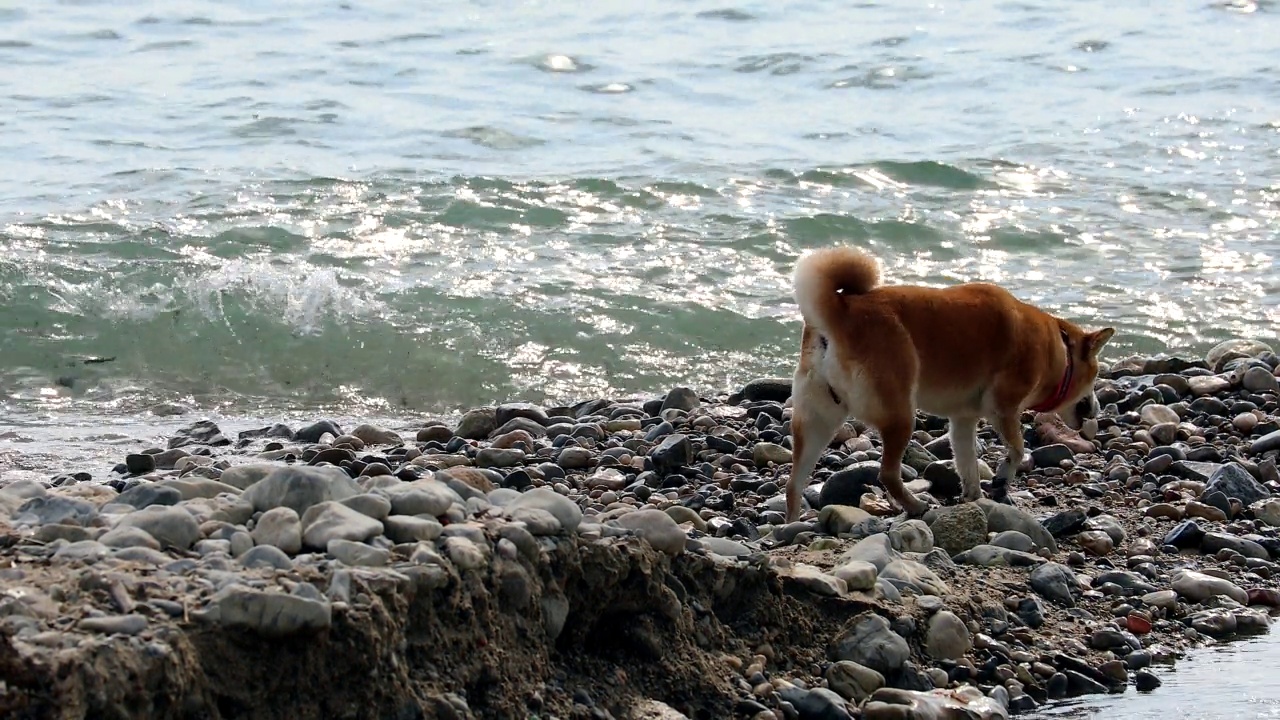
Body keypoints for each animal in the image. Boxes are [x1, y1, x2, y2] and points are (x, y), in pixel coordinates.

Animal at [778, 245, 1111, 520]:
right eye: (1096, 376)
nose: (1097, 408)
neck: (1057, 349)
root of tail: (840, 311)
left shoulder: (963, 420)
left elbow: (968, 464)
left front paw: (974, 498)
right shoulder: (1003, 408)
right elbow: (1016, 450)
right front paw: (1002, 478)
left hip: (818, 419)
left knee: (794, 484)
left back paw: (792, 526)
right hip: (900, 415)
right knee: (887, 475)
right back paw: (915, 506)